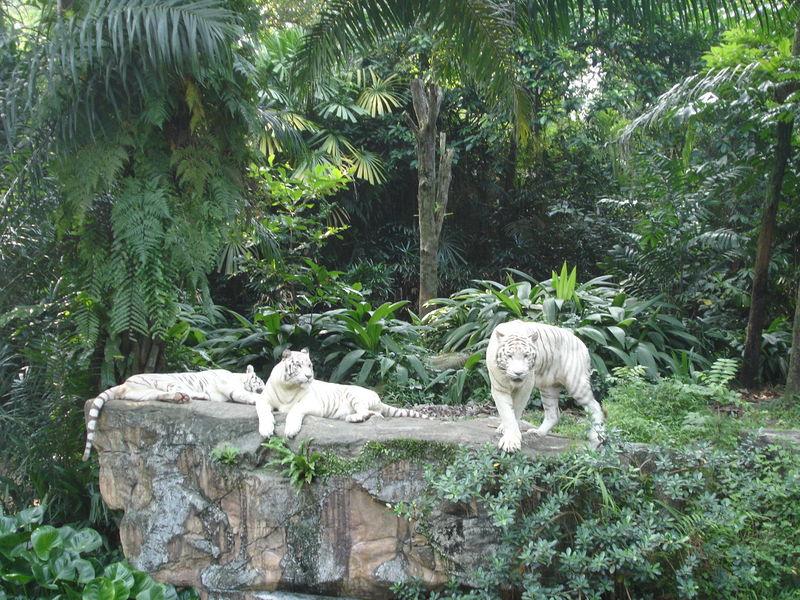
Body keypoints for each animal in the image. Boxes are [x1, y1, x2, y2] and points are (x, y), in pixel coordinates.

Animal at [83, 366, 266, 460]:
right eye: (260, 380)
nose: (264, 387)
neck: (239, 377)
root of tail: (124, 384)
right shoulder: (230, 386)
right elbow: (246, 395)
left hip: (145, 394)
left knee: (161, 395)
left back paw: (182, 397)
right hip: (165, 381)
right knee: (174, 389)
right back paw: (193, 396)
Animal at [258, 346, 432, 440]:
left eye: (309, 366)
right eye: (299, 365)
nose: (309, 376)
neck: (288, 387)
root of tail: (379, 398)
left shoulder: (312, 403)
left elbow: (295, 409)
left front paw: (290, 430)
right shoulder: (263, 399)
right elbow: (262, 411)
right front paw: (266, 430)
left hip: (354, 394)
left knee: (366, 412)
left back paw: (353, 418)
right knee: (376, 414)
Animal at [482, 322, 608, 452]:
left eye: (526, 356)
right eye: (509, 356)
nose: (519, 373)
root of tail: (583, 344)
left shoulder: (525, 387)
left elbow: (515, 410)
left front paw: (511, 441)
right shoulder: (499, 388)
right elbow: (507, 412)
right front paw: (508, 435)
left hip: (576, 383)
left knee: (595, 406)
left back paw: (597, 437)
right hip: (548, 388)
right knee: (554, 413)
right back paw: (538, 432)